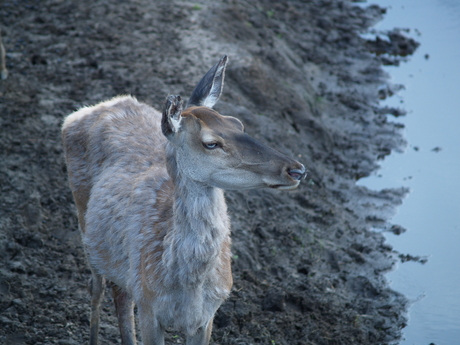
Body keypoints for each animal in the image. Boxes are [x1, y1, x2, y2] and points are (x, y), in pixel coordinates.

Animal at [61, 55, 306, 342]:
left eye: (238, 123)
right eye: (211, 143)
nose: (296, 169)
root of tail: (82, 112)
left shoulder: (208, 315)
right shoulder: (148, 306)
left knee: (120, 295)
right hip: (85, 226)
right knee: (96, 288)